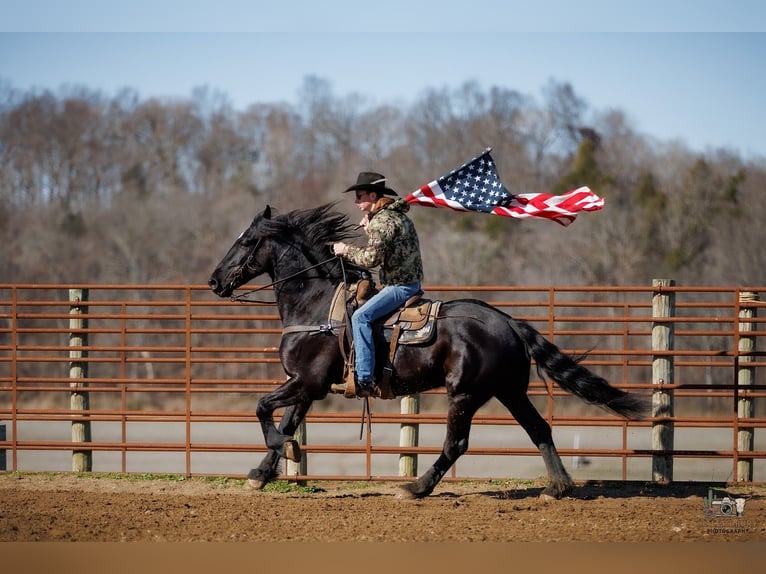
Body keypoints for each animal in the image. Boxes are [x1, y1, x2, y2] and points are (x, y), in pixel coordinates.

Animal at [208, 203, 649, 499]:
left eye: (246, 241)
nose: (214, 281)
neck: (315, 306)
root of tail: (508, 321)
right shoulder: (306, 386)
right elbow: (285, 422)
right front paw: (262, 472)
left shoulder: (307, 382)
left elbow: (264, 409)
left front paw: (281, 451)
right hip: (509, 391)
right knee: (539, 428)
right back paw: (558, 486)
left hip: (465, 393)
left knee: (456, 443)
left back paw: (416, 487)